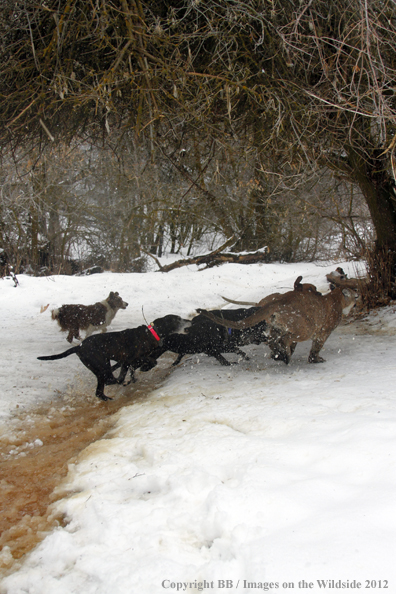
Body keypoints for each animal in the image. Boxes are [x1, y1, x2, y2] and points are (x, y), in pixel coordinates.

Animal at [38, 312, 192, 400]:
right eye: (178, 319)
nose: (190, 321)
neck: (152, 333)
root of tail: (79, 347)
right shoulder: (130, 359)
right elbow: (151, 361)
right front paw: (143, 369)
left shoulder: (126, 362)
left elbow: (133, 370)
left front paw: (135, 375)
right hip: (102, 365)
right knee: (110, 380)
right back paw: (121, 384)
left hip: (100, 369)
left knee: (100, 391)